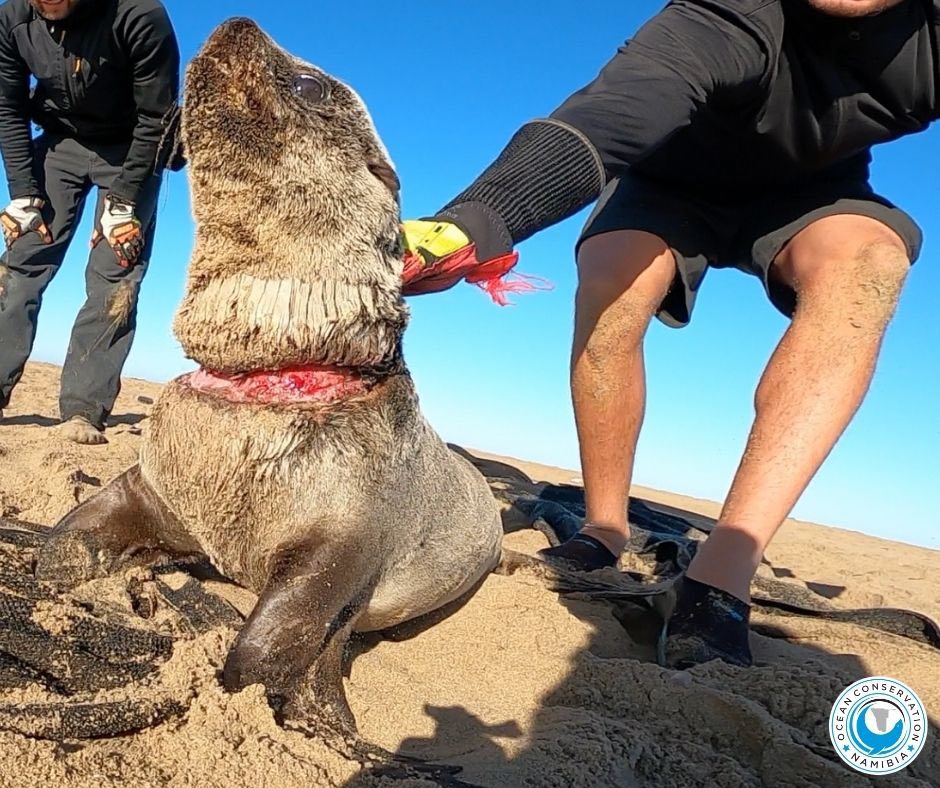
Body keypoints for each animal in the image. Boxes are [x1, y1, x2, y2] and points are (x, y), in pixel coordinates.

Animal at [35, 17, 502, 744]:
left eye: (310, 84)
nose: (239, 22)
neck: (270, 377)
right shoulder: (157, 484)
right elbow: (66, 540)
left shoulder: (345, 541)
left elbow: (265, 648)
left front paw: (303, 717)